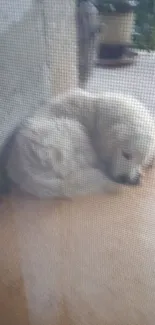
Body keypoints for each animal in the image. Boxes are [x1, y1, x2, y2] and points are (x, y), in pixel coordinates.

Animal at [6, 87, 155, 196]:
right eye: (126, 154)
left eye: (141, 161)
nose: (125, 179)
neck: (97, 115)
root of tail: (29, 175)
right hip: (72, 128)